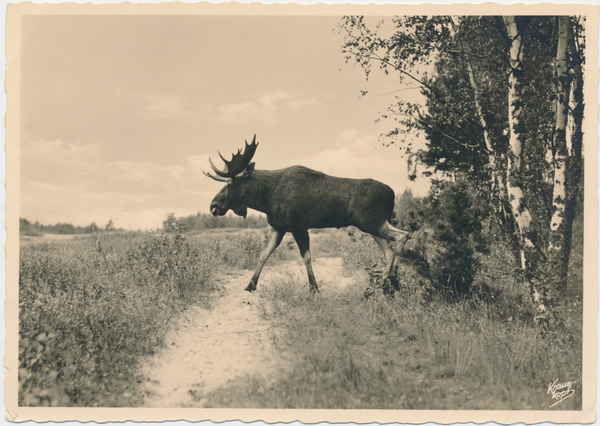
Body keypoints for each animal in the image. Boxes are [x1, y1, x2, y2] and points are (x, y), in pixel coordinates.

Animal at [204, 136, 410, 292]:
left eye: (231, 184)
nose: (213, 206)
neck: (266, 198)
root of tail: (392, 193)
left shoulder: (298, 225)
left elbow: (306, 257)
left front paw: (314, 289)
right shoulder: (278, 227)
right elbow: (264, 254)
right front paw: (250, 286)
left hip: (370, 222)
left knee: (403, 236)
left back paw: (391, 281)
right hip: (374, 225)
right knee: (390, 250)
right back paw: (390, 281)